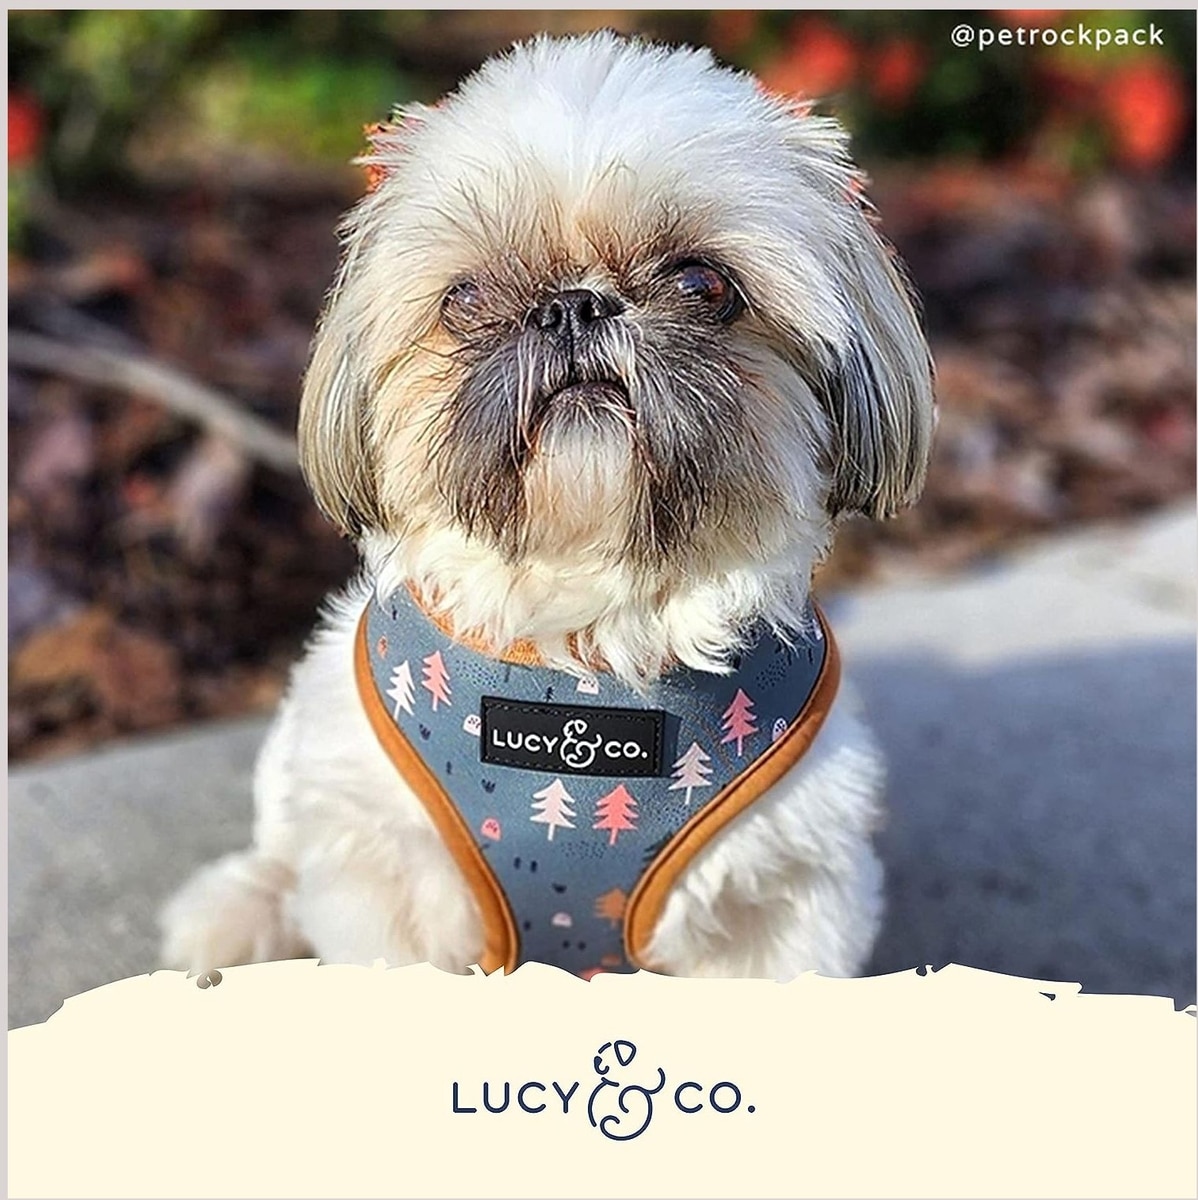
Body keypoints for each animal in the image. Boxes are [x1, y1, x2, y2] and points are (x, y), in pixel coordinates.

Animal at [161, 32, 934, 982]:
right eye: (464, 298)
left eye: (703, 284)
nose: (571, 305)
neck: (587, 644)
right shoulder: (391, 886)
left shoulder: (782, 902)